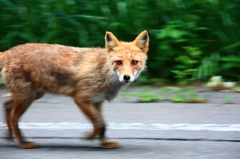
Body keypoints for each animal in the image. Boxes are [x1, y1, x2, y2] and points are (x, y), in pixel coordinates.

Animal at [0, 30, 148, 148]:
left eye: (134, 62)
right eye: (118, 62)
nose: (126, 77)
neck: (103, 71)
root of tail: (7, 52)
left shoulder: (97, 101)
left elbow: (103, 125)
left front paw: (105, 143)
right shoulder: (81, 99)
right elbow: (98, 124)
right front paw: (89, 136)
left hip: (32, 95)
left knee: (7, 105)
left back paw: (10, 137)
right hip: (26, 97)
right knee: (13, 118)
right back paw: (22, 143)